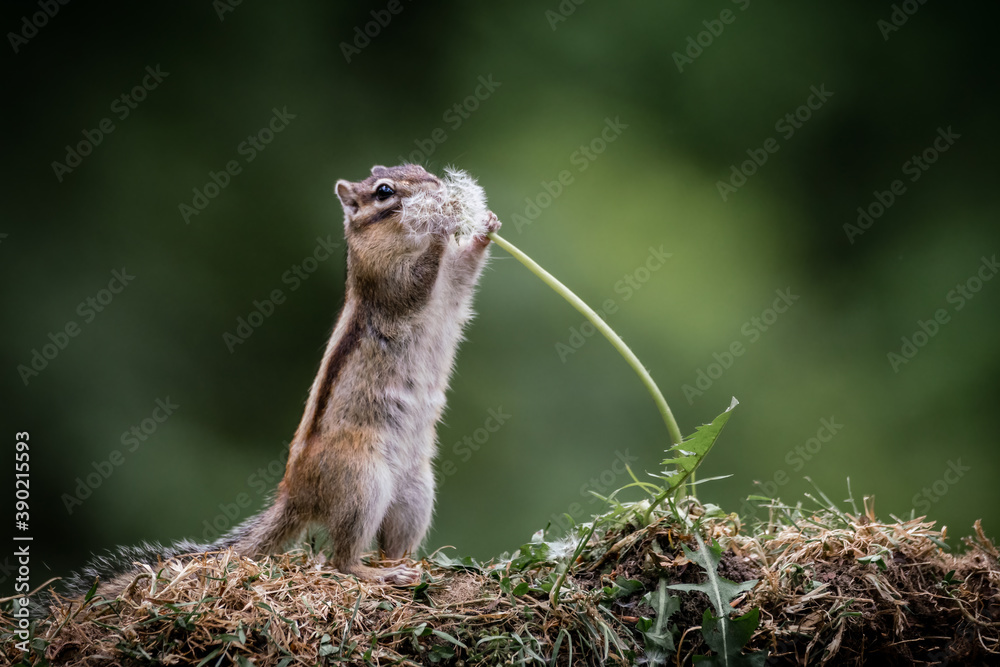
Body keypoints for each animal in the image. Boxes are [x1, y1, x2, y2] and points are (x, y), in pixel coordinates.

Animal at [47, 164, 499, 611]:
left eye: (421, 168)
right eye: (384, 191)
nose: (439, 188)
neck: (400, 242)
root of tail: (296, 494)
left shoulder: (450, 289)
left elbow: (462, 277)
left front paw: (484, 227)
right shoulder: (385, 281)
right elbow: (413, 285)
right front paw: (442, 227)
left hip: (415, 493)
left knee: (389, 545)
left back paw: (408, 567)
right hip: (362, 483)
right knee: (340, 562)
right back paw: (379, 574)